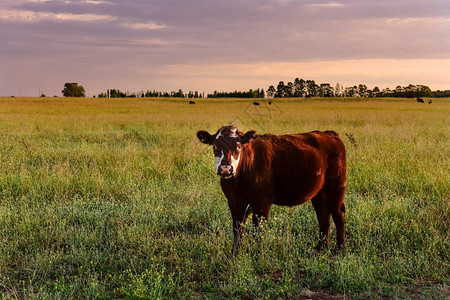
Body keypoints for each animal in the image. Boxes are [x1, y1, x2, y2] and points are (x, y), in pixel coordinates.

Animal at [195, 124, 346, 253]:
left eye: (238, 147)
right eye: (215, 147)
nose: (225, 169)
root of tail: (329, 134)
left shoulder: (262, 202)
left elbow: (259, 230)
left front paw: (258, 255)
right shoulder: (234, 201)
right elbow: (237, 228)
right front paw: (234, 254)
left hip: (336, 187)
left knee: (338, 214)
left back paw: (340, 249)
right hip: (319, 192)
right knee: (323, 214)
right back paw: (321, 247)